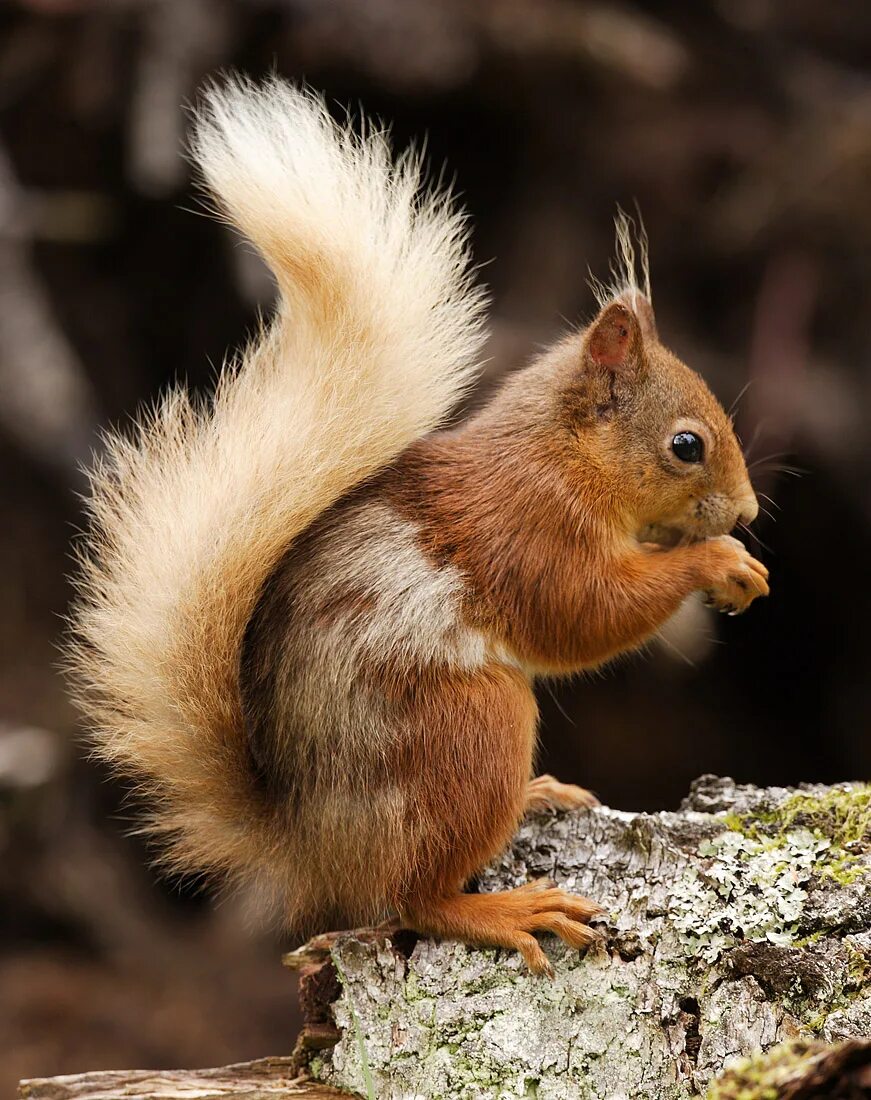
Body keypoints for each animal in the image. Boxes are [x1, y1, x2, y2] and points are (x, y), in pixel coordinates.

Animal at [67, 77, 768, 977]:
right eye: (686, 445)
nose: (747, 512)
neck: (560, 456)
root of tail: (313, 850)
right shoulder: (527, 531)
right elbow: (581, 614)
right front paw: (718, 561)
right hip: (468, 727)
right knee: (414, 899)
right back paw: (503, 908)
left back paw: (534, 798)